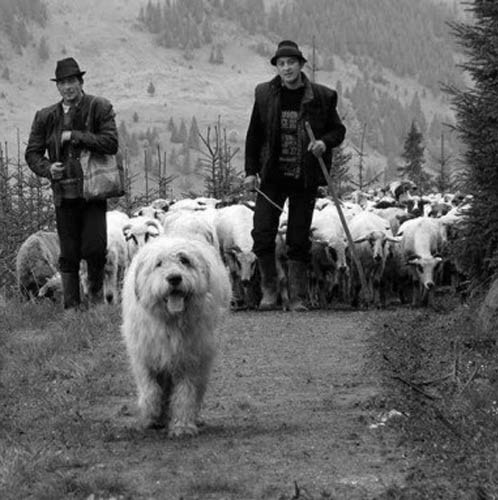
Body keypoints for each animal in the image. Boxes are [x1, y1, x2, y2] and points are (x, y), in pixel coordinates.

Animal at [121, 236, 231, 436]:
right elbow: (150, 389)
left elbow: (185, 394)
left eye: (184, 260)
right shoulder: (144, 357)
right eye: (158, 263)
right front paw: (149, 415)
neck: (171, 321)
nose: (174, 278)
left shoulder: (190, 360)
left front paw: (182, 426)